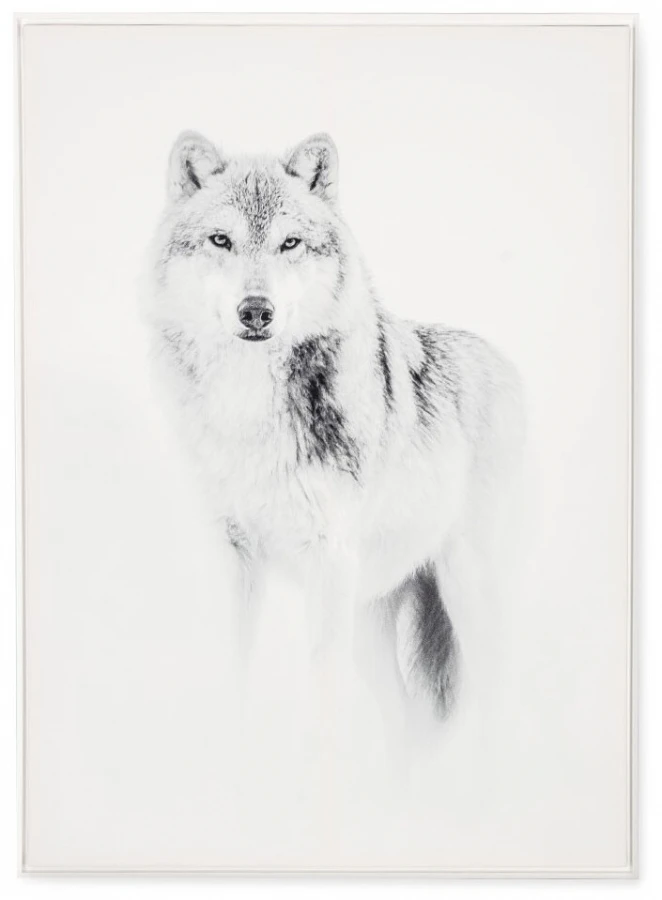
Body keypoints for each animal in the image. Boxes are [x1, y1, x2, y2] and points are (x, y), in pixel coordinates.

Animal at [144, 131, 525, 723]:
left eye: (290, 243)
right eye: (220, 240)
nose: (256, 310)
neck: (249, 408)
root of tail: (506, 365)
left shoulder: (328, 560)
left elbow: (322, 700)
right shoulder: (231, 557)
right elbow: (231, 678)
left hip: (468, 596)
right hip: (371, 623)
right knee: (409, 721)